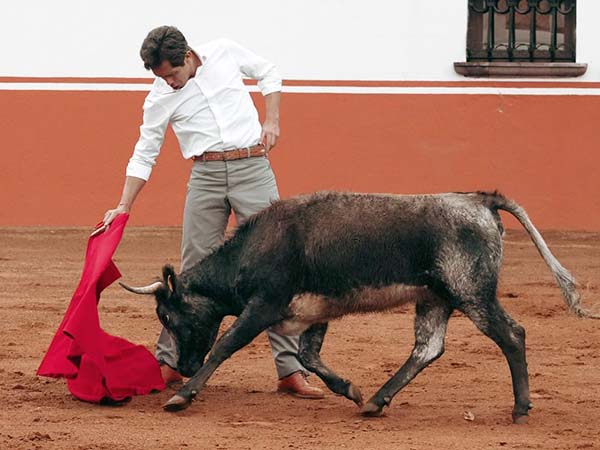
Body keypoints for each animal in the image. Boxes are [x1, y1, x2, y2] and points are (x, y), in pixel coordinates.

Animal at [119, 192, 596, 424]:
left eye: (169, 316)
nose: (182, 365)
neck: (255, 246)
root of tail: (480, 200)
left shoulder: (263, 306)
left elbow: (226, 346)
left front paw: (182, 395)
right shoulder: (314, 313)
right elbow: (308, 356)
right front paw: (350, 390)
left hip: (471, 293)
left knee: (511, 334)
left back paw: (520, 409)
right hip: (435, 298)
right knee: (427, 348)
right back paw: (376, 402)